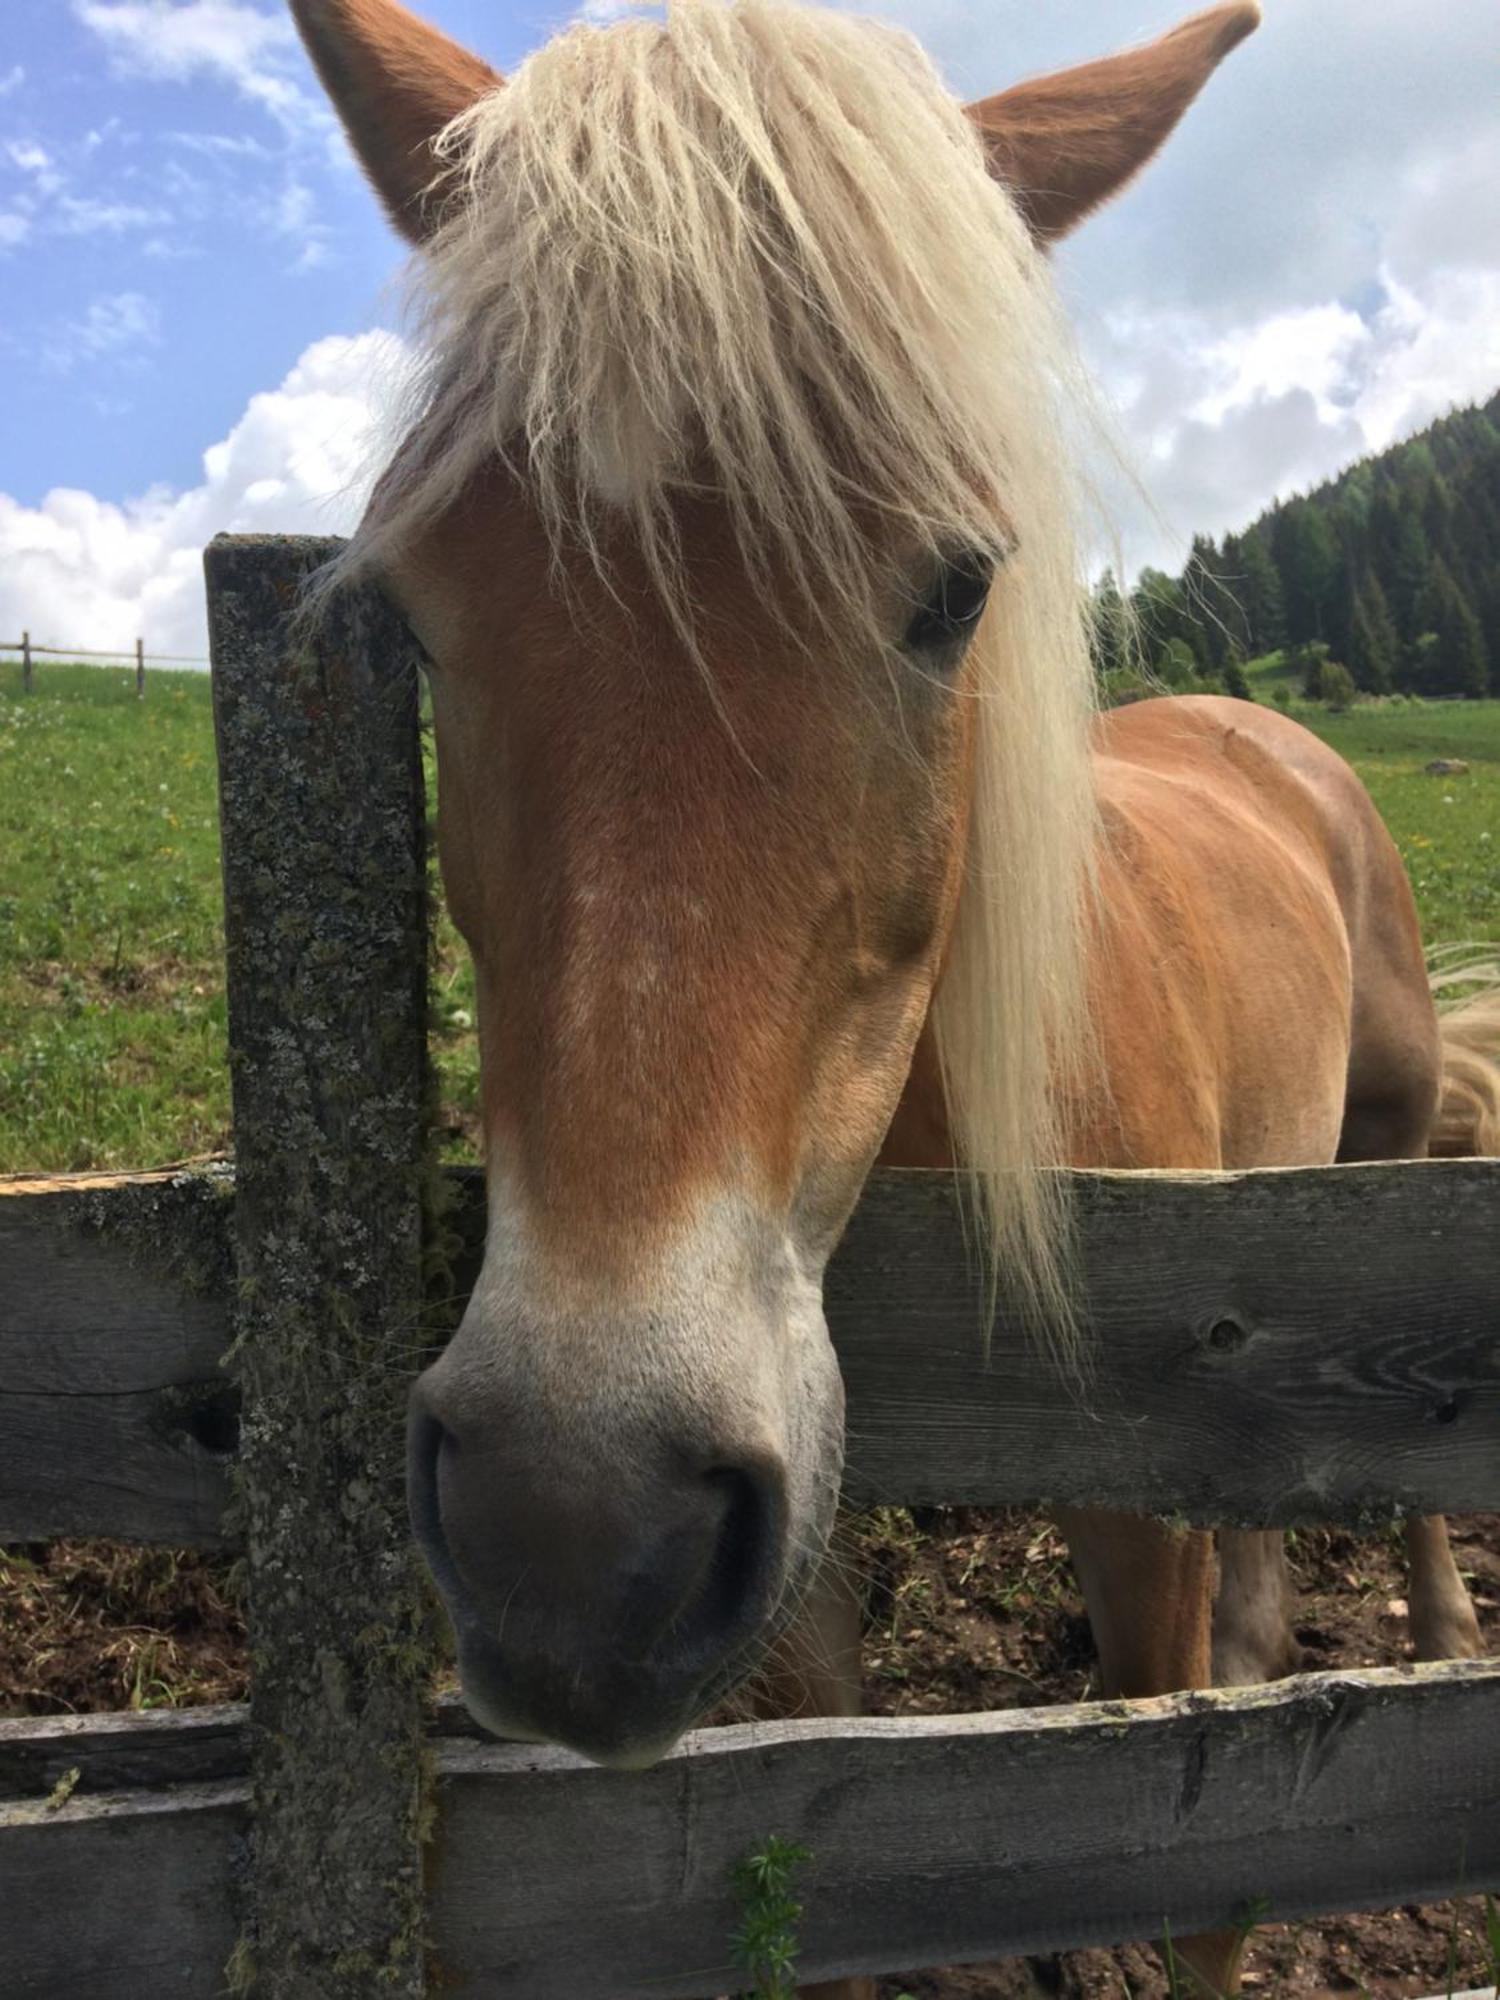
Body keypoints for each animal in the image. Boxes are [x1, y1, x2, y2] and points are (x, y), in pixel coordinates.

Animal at [296, 7, 1500, 1992]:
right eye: (407, 605)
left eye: (952, 591)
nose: (571, 1526)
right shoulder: (784, 1598)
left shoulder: (1145, 1501)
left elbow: (1193, 1848)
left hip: (1381, 1184)